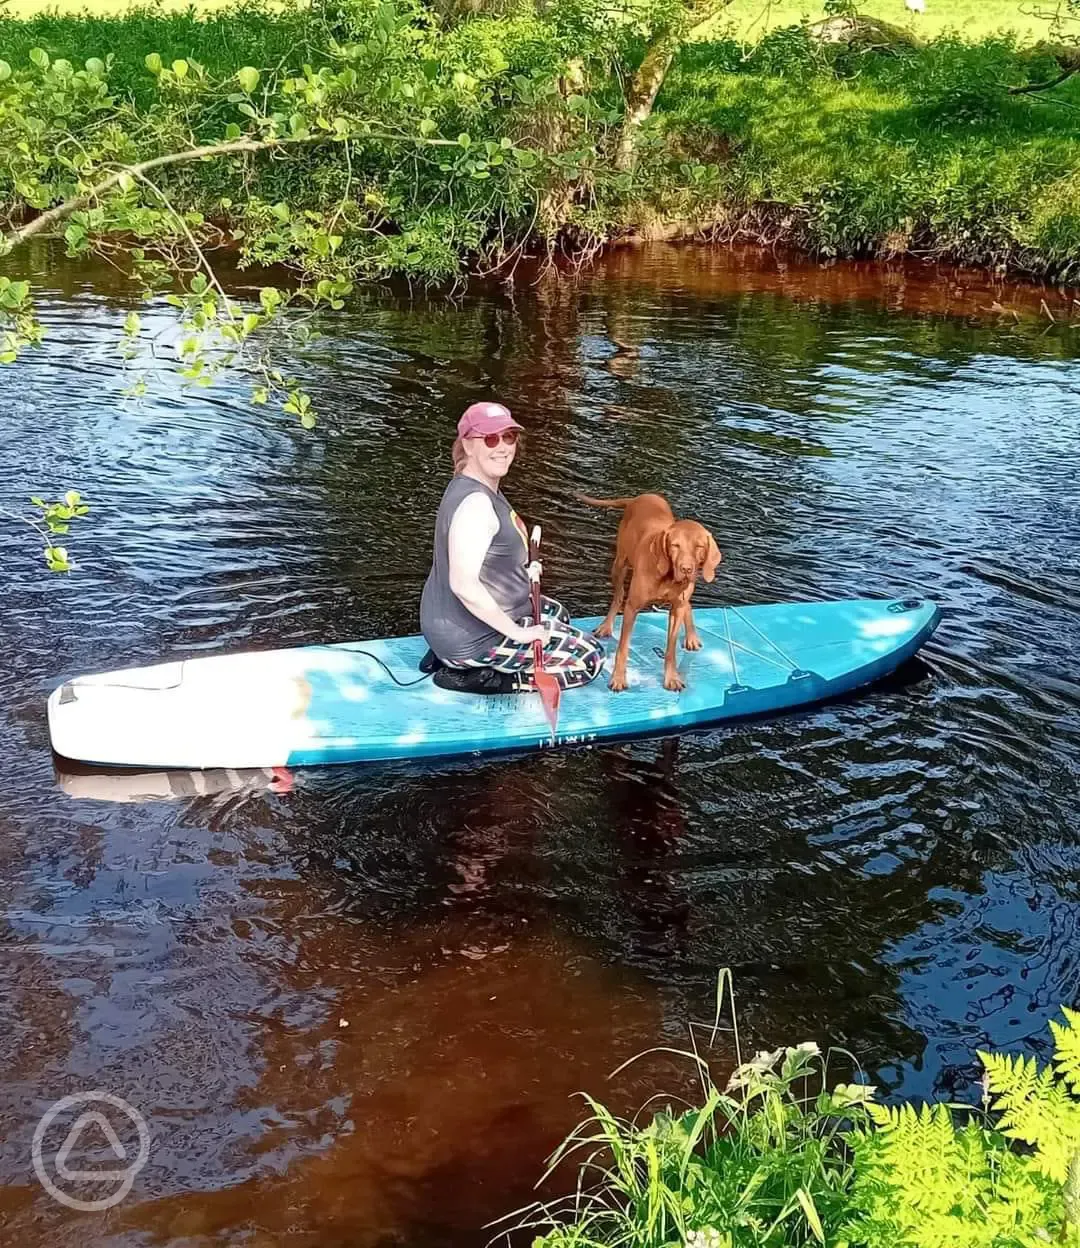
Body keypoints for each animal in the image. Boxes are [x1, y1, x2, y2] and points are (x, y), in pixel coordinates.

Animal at [576, 494, 719, 693]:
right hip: (619, 564)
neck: (668, 578)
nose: (686, 569)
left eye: (699, 546)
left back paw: (691, 637)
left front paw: (672, 678)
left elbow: (671, 649)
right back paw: (606, 626)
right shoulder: (632, 608)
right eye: (675, 545)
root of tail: (639, 497)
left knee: (687, 605)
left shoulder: (676, 609)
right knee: (618, 595)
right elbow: (623, 648)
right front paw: (618, 679)